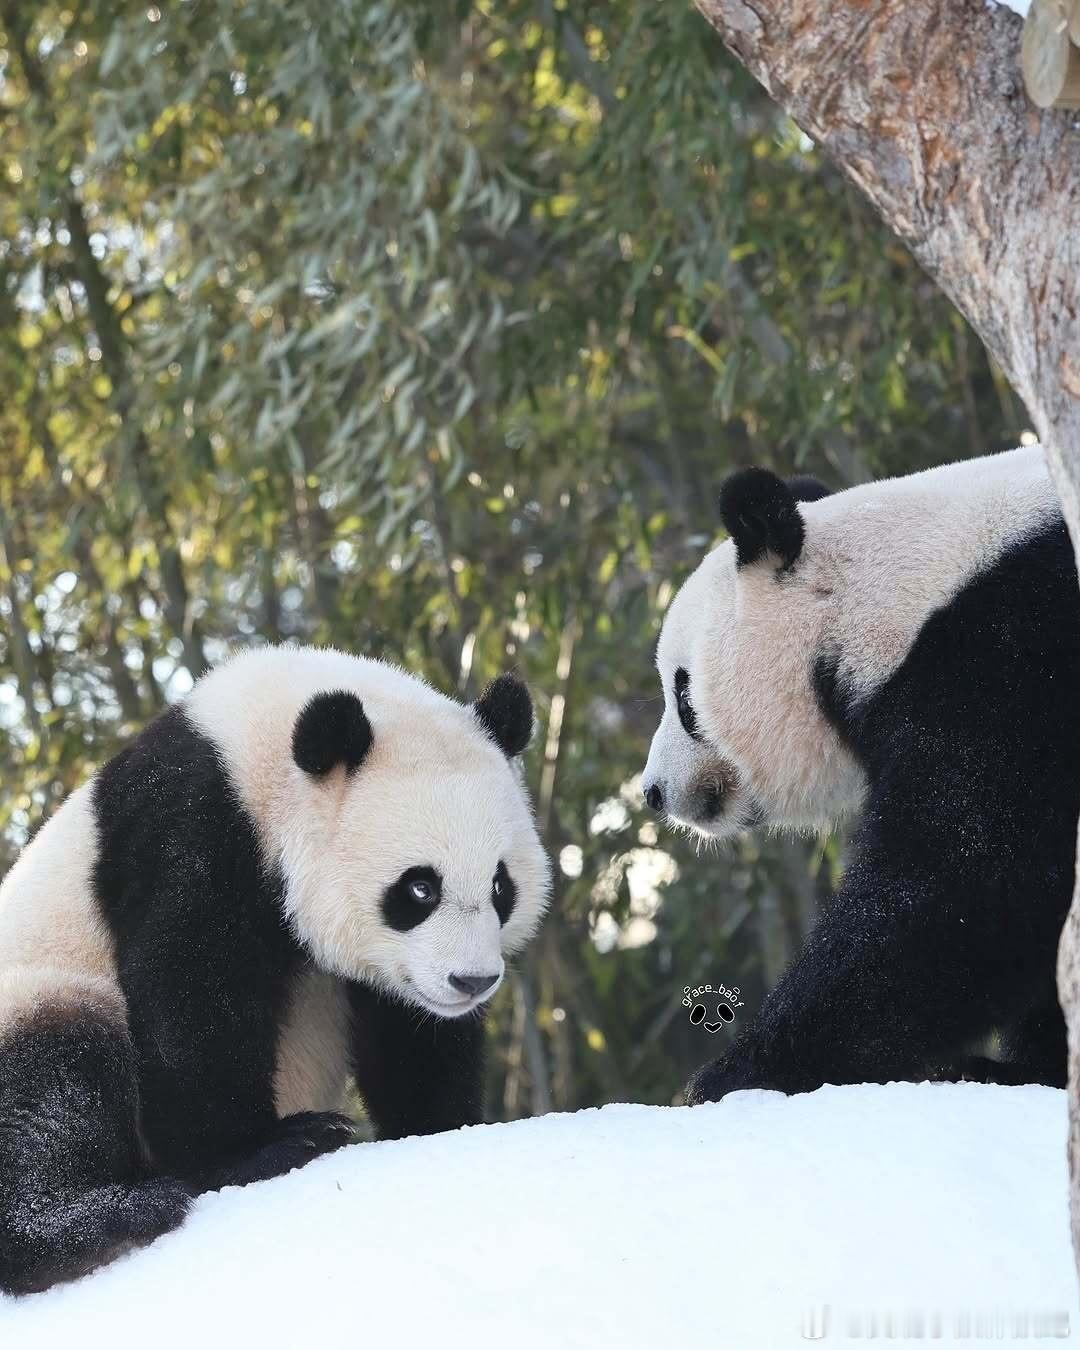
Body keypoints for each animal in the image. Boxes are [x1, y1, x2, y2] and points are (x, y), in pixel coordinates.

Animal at [0, 645, 553, 1296]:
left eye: (500, 887)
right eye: (419, 888)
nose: (472, 982)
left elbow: (409, 1036)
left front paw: (442, 1127)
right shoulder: (193, 828)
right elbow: (191, 989)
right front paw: (263, 1148)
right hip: (38, 983)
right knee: (56, 1078)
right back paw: (89, 1225)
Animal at [642, 448, 1080, 1101]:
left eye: (684, 697)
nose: (652, 791)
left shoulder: (1012, 660)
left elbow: (968, 882)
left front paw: (740, 1073)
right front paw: (1028, 1067)